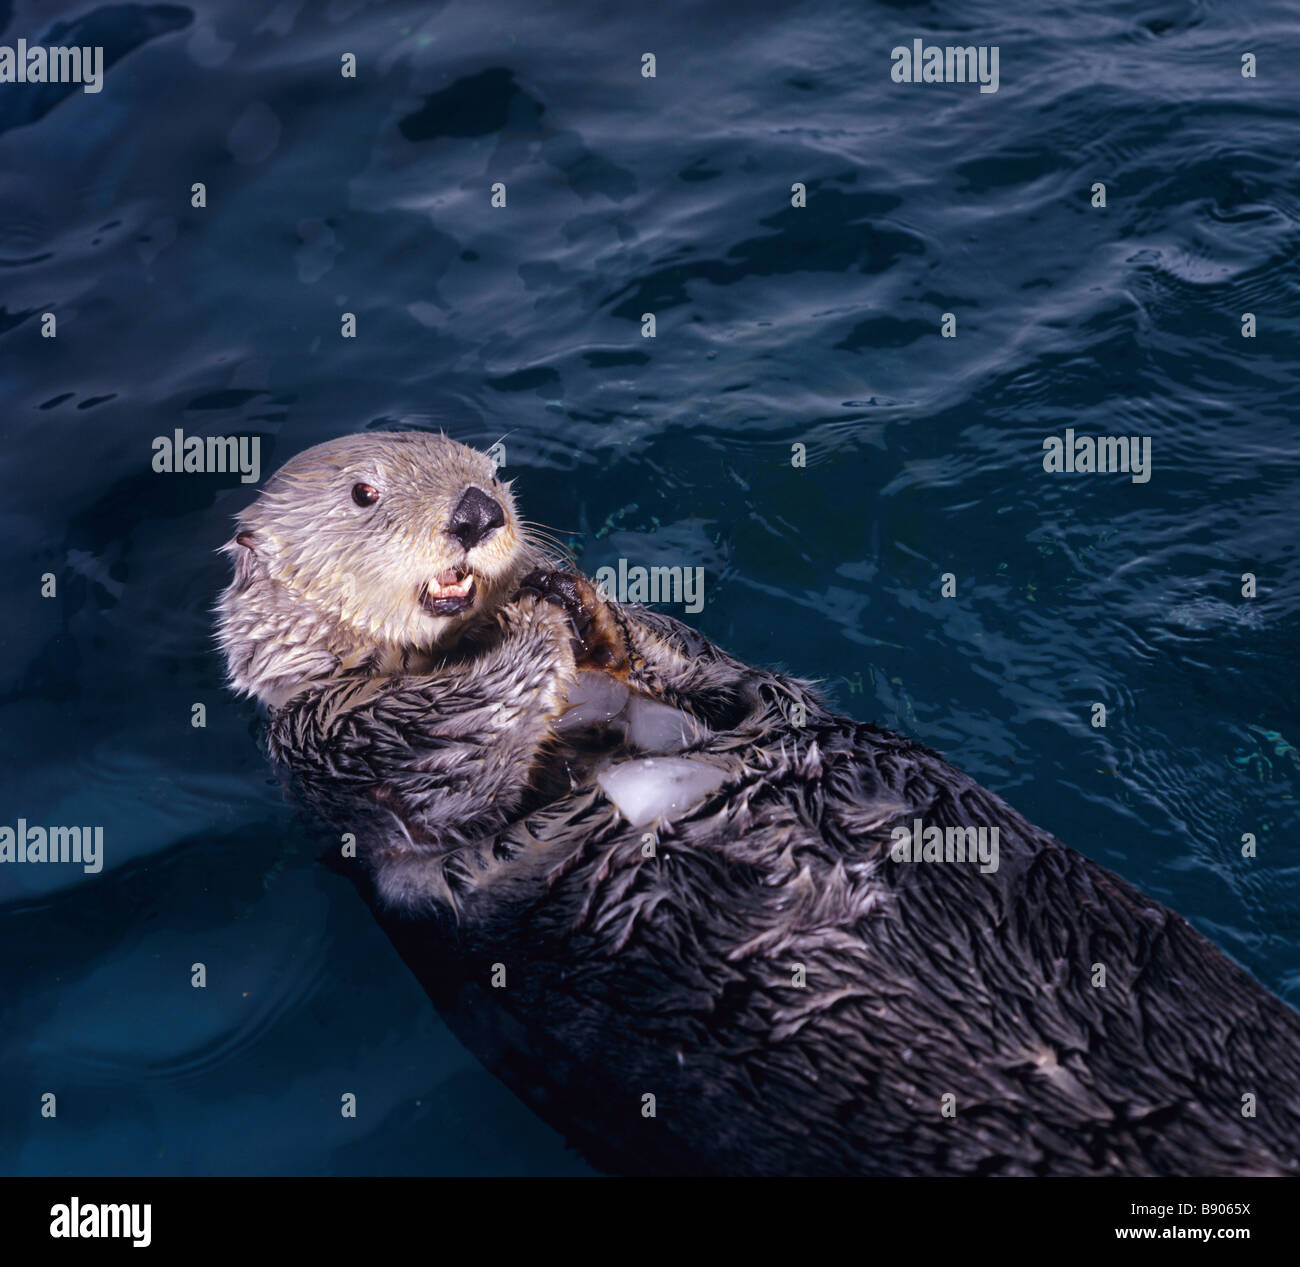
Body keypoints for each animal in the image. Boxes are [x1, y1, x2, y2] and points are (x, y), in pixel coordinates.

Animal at [216, 430, 1300, 1177]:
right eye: (364, 492)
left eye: (486, 462)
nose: (481, 511)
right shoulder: (335, 755)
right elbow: (434, 753)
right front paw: (525, 622)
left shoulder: (725, 691)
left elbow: (714, 677)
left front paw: (572, 593)